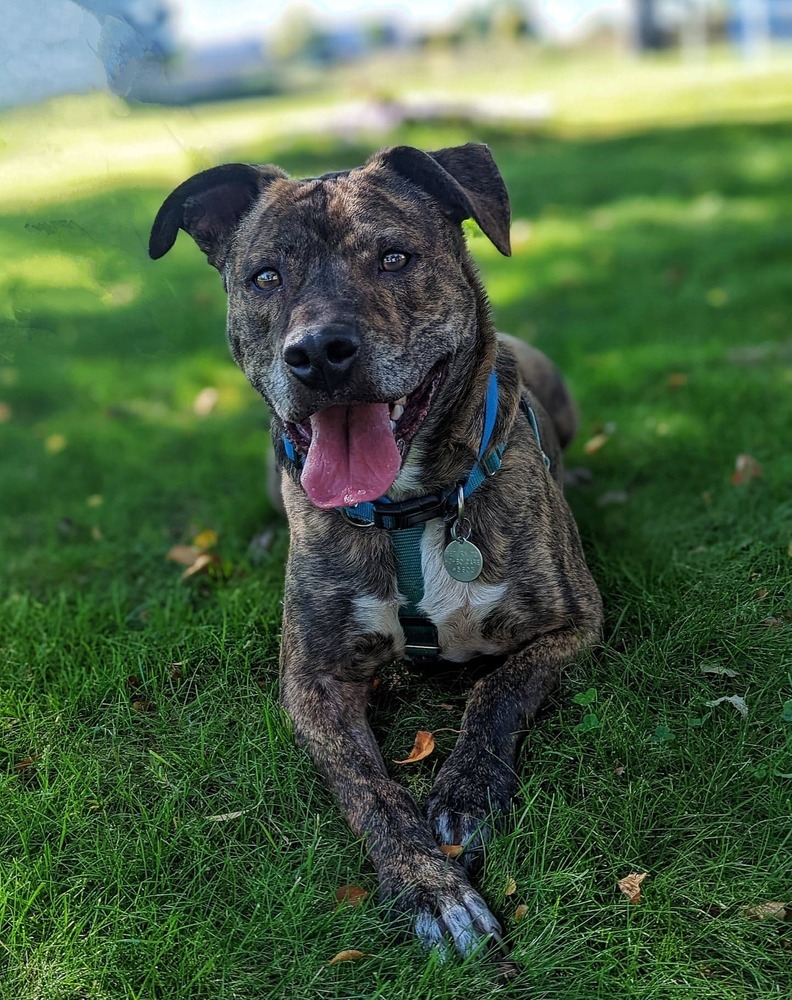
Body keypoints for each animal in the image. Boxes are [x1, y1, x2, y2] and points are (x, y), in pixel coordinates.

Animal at [150, 145, 600, 956]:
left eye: (394, 257)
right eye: (266, 276)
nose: (319, 354)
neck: (408, 511)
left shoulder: (575, 622)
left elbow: (500, 686)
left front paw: (465, 792)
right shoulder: (313, 680)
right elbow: (367, 787)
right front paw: (431, 888)